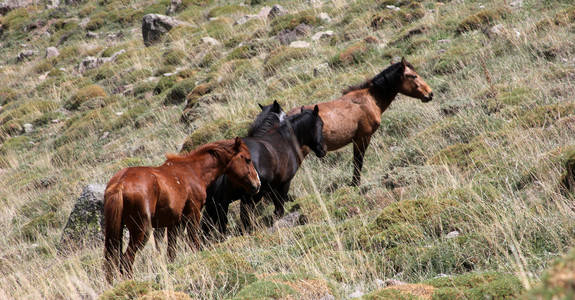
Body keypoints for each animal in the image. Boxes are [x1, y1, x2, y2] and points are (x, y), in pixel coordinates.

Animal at [104, 137, 260, 282]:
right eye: (247, 159)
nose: (257, 184)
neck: (193, 170)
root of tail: (120, 183)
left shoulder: (175, 223)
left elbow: (171, 252)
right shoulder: (193, 214)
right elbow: (194, 242)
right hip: (141, 231)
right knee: (126, 260)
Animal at [290, 56, 434, 185]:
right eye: (414, 76)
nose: (430, 93)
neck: (369, 99)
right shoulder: (363, 138)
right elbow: (358, 161)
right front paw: (355, 184)